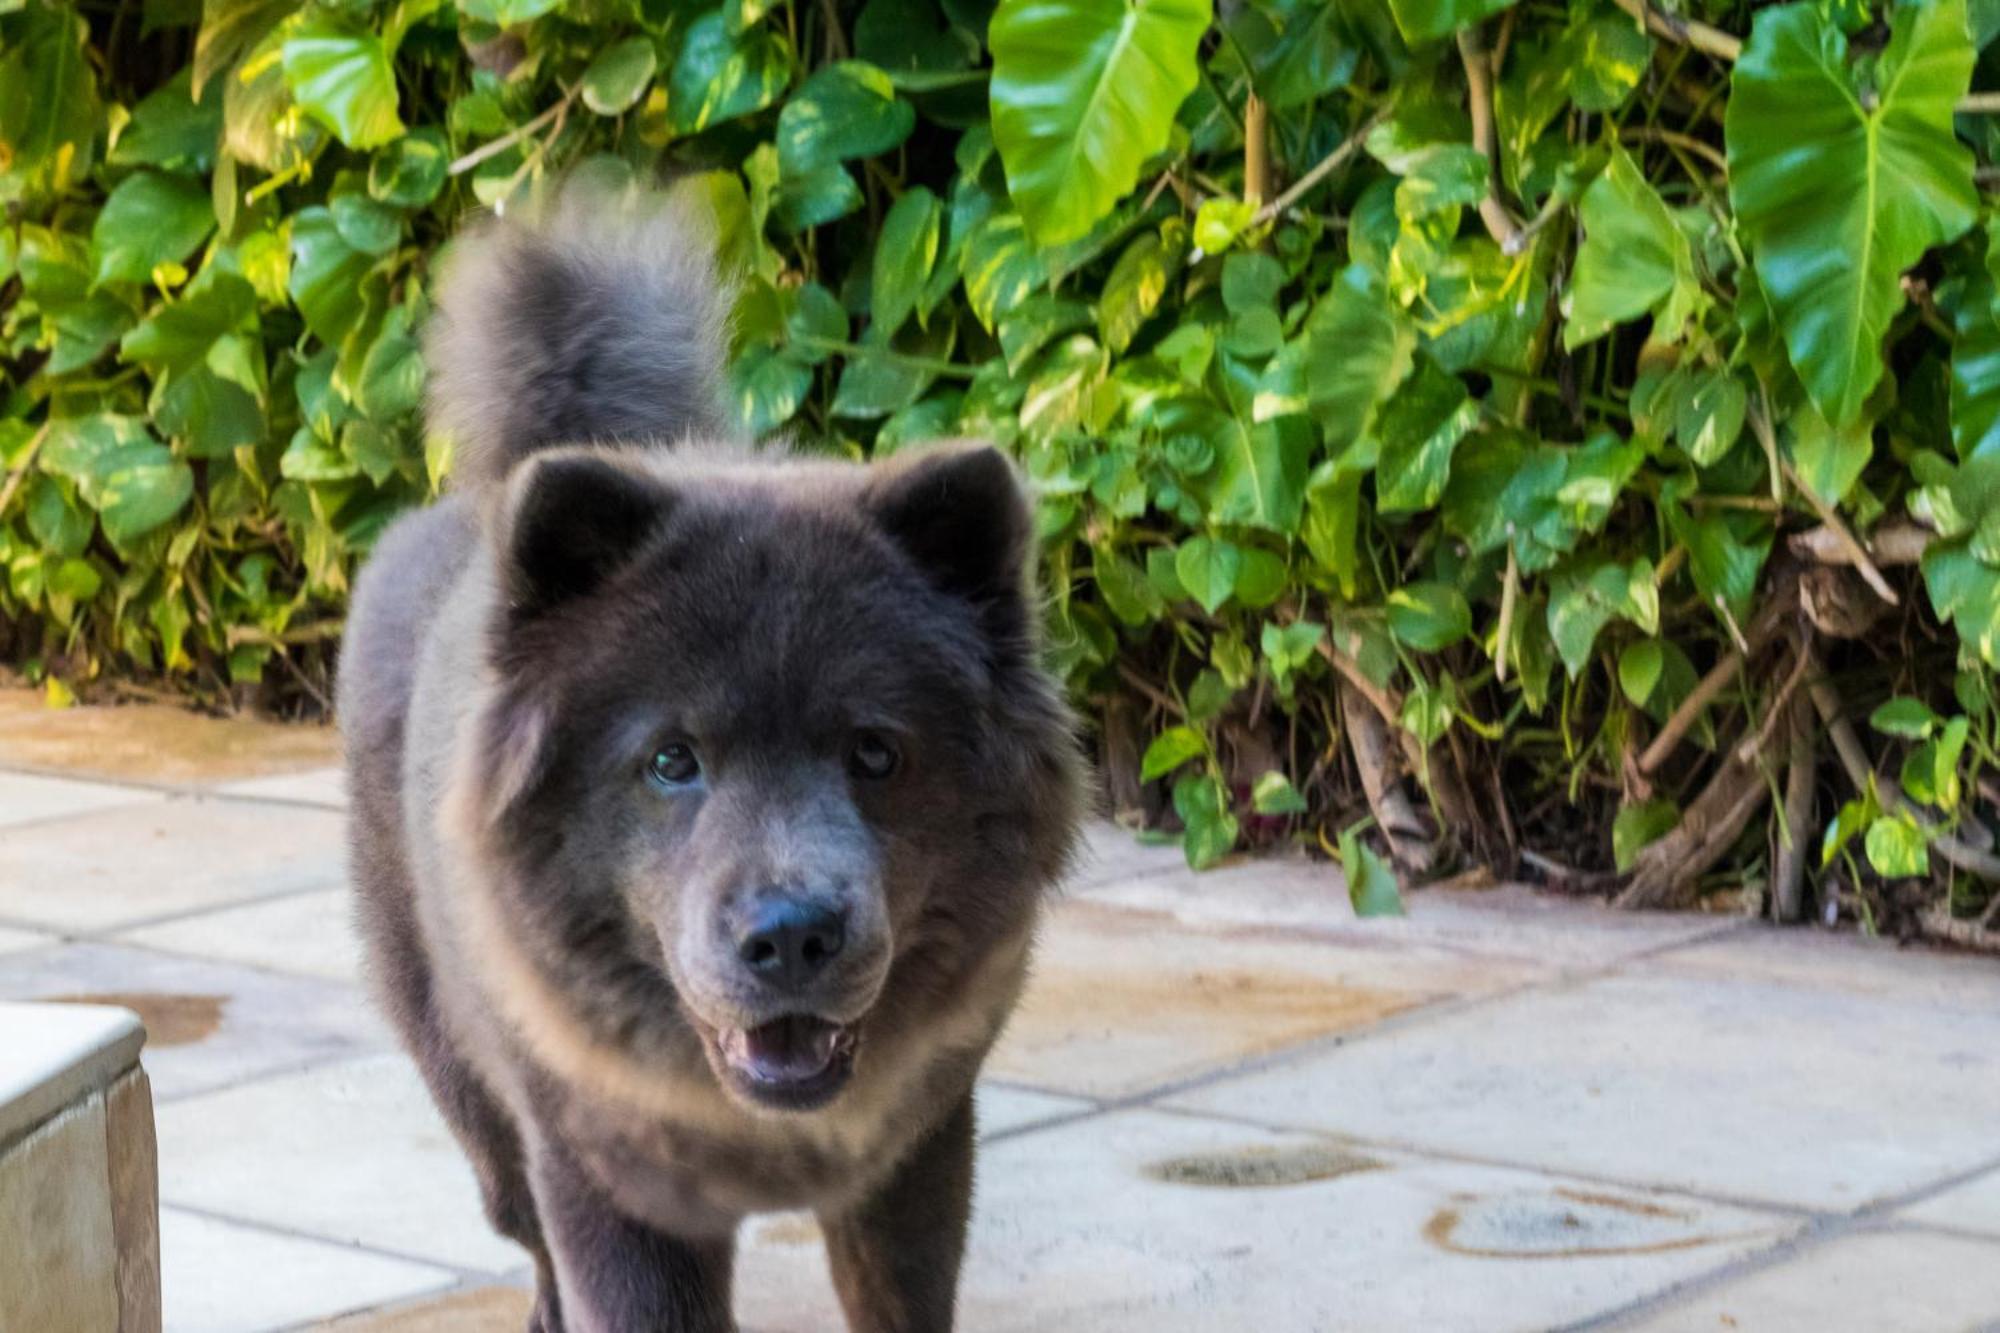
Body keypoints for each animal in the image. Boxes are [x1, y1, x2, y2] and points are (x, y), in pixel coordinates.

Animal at [348, 189, 1096, 1328]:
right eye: (670, 760)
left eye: (875, 753)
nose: (790, 935)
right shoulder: (610, 1191)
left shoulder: (916, 1162)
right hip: (479, 1112)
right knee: (527, 1240)